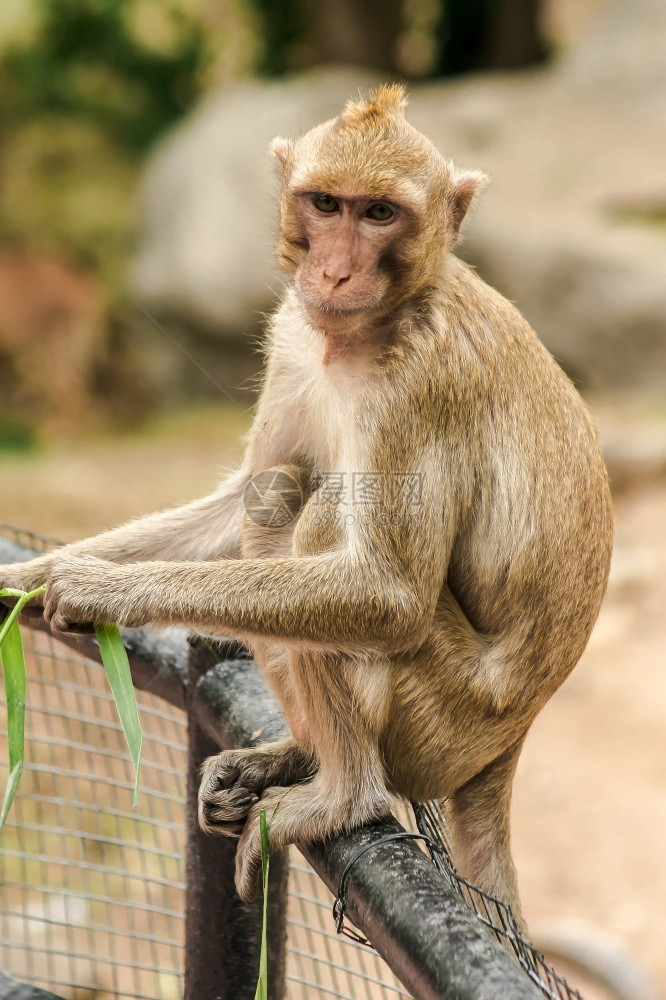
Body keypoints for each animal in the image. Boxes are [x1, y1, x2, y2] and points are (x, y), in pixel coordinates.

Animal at [0, 86, 612, 928]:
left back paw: (344, 796)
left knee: (318, 518)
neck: (359, 338)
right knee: (275, 496)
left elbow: (388, 596)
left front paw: (100, 590)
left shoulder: (421, 386)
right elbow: (237, 499)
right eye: (326, 203)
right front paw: (28, 579)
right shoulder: (294, 336)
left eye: (380, 214)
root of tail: (510, 740)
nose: (335, 268)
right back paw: (297, 758)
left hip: (441, 719)